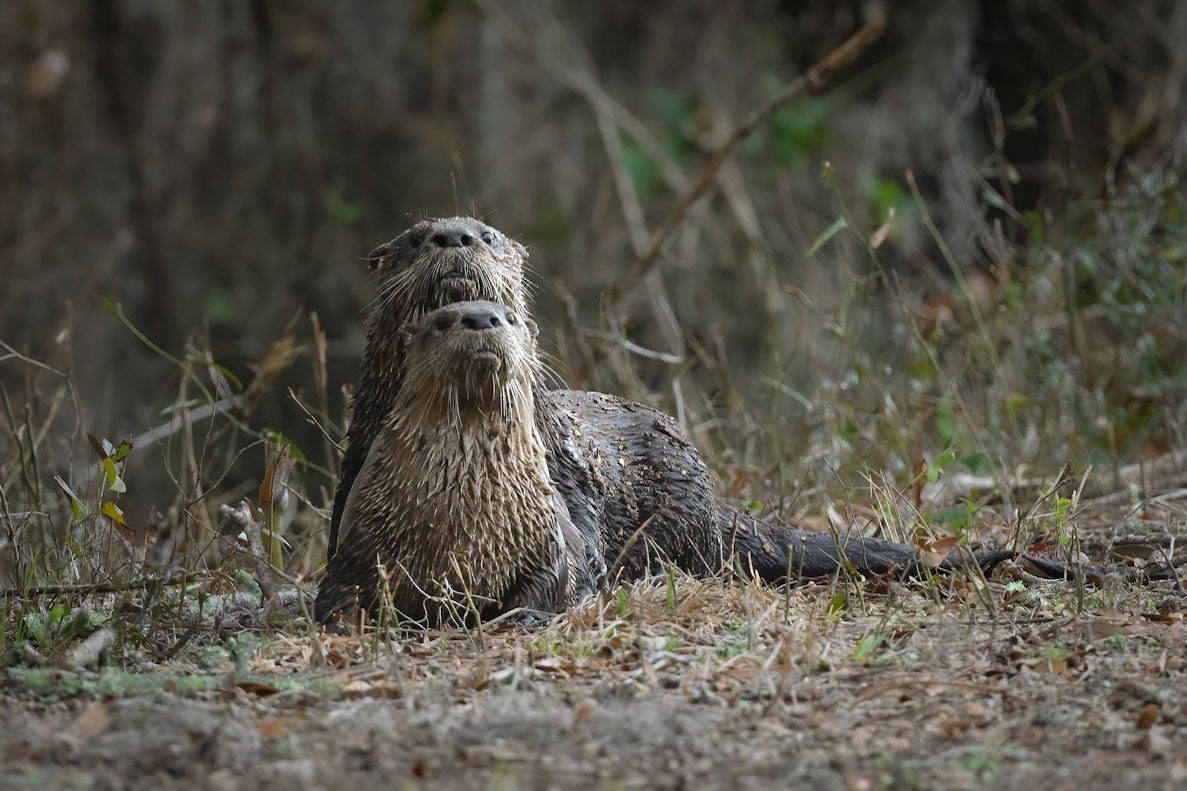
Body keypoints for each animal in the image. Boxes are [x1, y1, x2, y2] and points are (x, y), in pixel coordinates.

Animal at [320, 217, 965, 623]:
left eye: (487, 235)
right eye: (416, 239)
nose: (454, 236)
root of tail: (709, 498)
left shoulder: (562, 487)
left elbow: (575, 556)